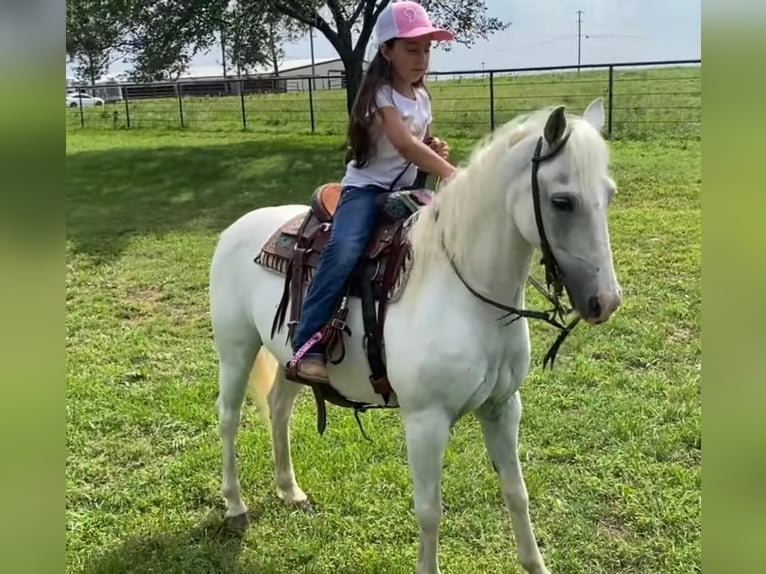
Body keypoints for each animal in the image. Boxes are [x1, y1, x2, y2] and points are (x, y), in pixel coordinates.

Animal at [208, 98, 622, 574]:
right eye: (562, 201)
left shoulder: (503, 407)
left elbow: (517, 493)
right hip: (236, 350)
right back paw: (235, 506)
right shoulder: (426, 421)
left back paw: (290, 491)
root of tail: (236, 228)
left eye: (609, 194)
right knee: (228, 418)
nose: (606, 301)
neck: (465, 292)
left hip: (288, 358)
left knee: (278, 409)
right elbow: (429, 511)